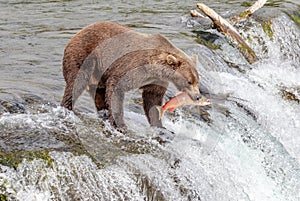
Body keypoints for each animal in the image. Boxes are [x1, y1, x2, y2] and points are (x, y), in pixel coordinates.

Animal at [61, 21, 202, 130]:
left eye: (197, 81)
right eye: (189, 81)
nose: (198, 97)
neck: (154, 67)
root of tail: (77, 33)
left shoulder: (157, 80)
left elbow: (152, 99)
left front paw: (160, 126)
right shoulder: (134, 67)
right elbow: (116, 88)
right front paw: (121, 124)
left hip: (99, 74)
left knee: (99, 93)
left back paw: (103, 113)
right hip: (85, 58)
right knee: (76, 84)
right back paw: (67, 108)